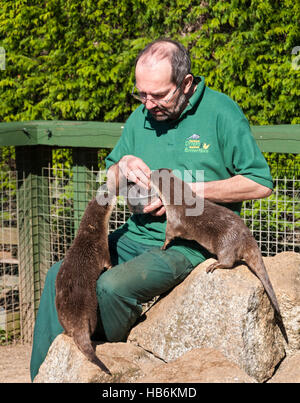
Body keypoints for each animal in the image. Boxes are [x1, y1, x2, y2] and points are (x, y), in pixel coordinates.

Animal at [55, 193, 116, 376]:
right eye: (108, 195)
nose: (113, 192)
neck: (90, 231)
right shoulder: (103, 249)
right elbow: (109, 264)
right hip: (92, 311)